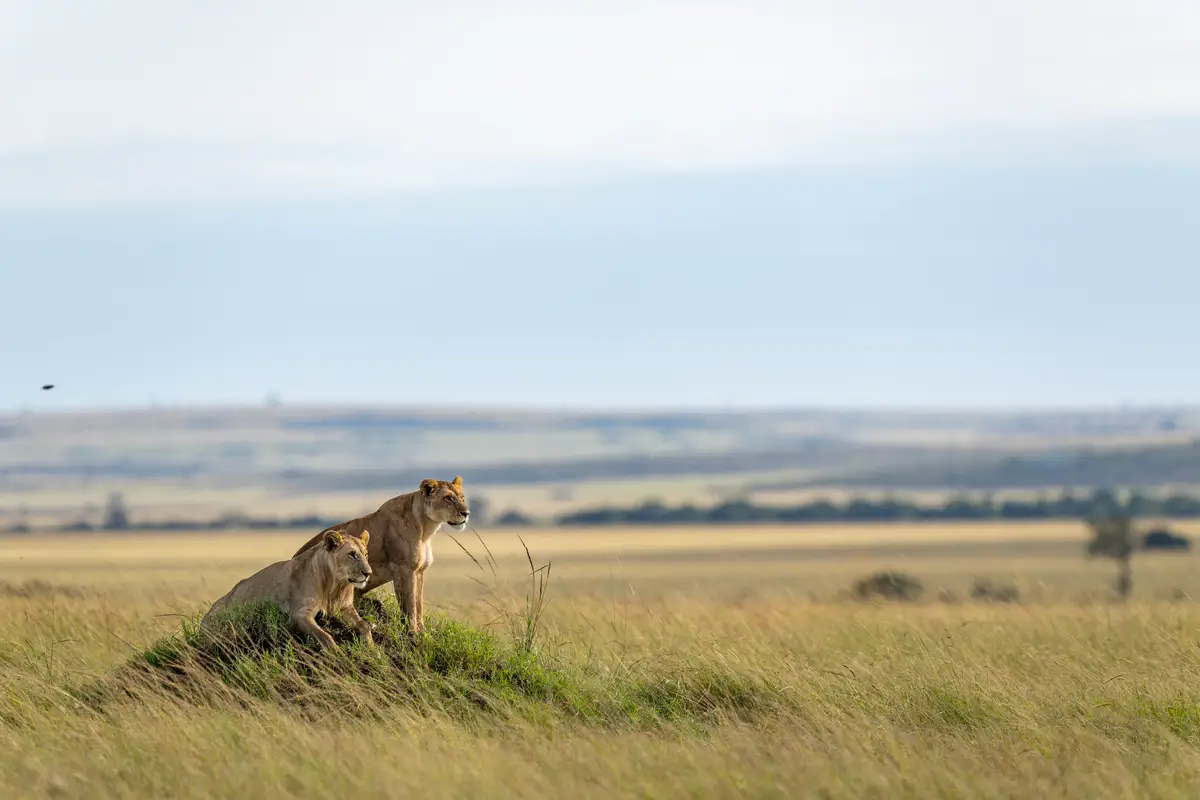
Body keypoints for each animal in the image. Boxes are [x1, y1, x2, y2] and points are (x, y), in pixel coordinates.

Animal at [202, 528, 375, 651]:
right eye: (351, 554)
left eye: (366, 554)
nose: (368, 573)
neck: (335, 585)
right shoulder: (299, 613)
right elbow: (324, 635)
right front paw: (338, 654)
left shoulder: (345, 606)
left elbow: (364, 625)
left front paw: (372, 647)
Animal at [291, 476, 470, 635]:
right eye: (448, 498)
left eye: (462, 497)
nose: (466, 513)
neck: (426, 529)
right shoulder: (404, 568)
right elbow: (409, 605)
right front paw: (413, 632)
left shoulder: (419, 571)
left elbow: (418, 604)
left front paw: (423, 631)